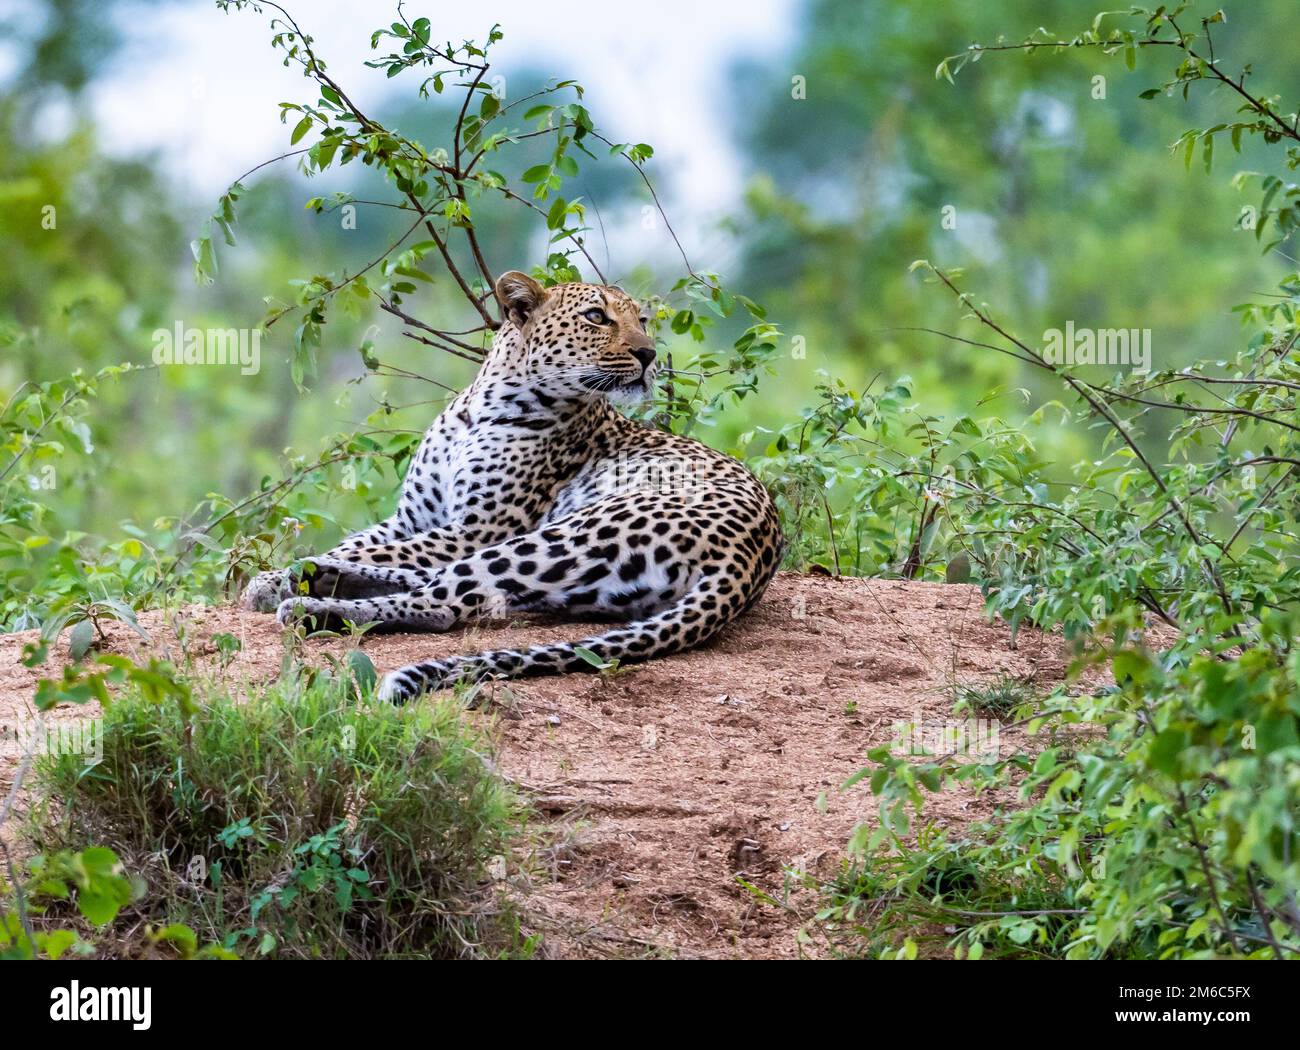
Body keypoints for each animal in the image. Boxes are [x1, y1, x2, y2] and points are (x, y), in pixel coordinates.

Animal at [240, 269, 784, 704]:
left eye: (643, 321)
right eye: (597, 317)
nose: (649, 354)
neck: (486, 404)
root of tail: (748, 560)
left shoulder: (476, 528)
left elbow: (383, 552)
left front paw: (273, 582)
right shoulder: (414, 518)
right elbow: (365, 544)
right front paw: (275, 576)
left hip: (568, 532)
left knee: (444, 602)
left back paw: (309, 602)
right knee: (452, 588)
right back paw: (315, 575)